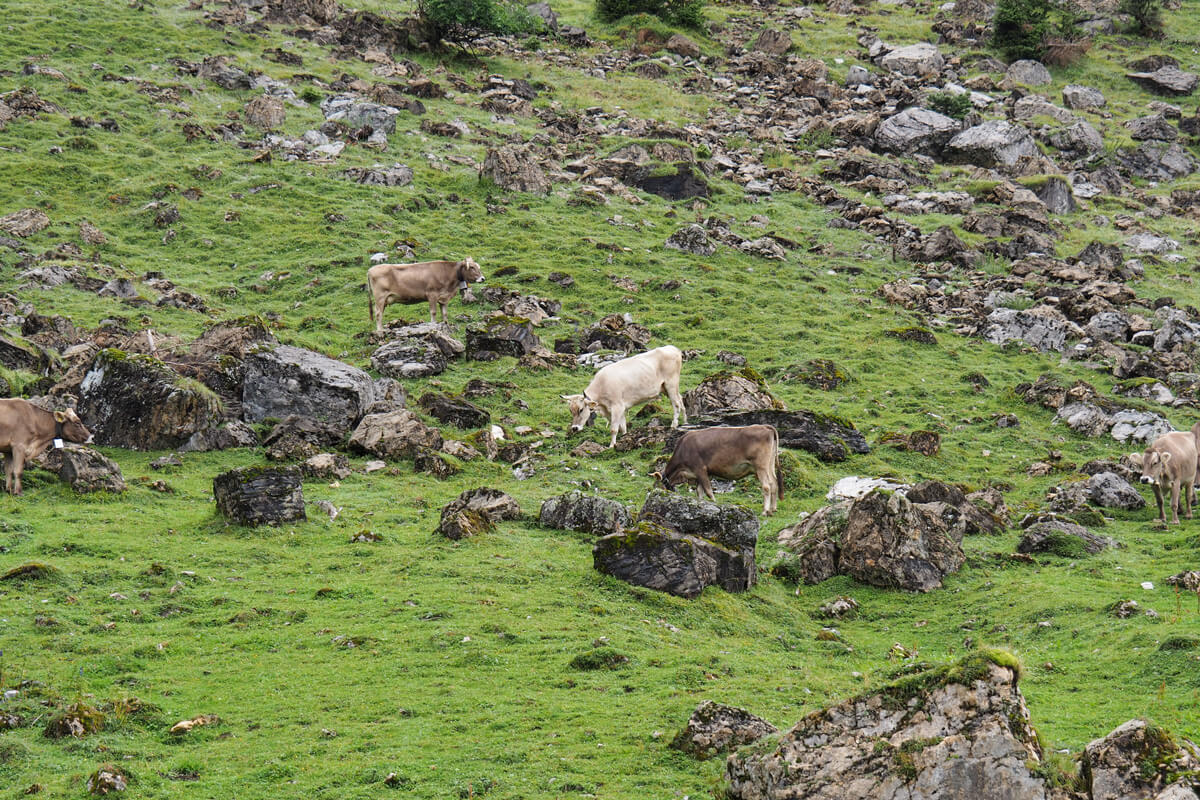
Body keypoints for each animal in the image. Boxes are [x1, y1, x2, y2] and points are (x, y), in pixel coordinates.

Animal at [652, 422, 782, 515]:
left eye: (656, 488)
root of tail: (765, 426)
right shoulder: (700, 474)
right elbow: (699, 492)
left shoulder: (700, 469)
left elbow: (709, 492)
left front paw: (716, 505)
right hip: (770, 464)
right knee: (774, 482)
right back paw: (773, 509)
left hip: (761, 466)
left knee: (766, 486)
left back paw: (765, 511)